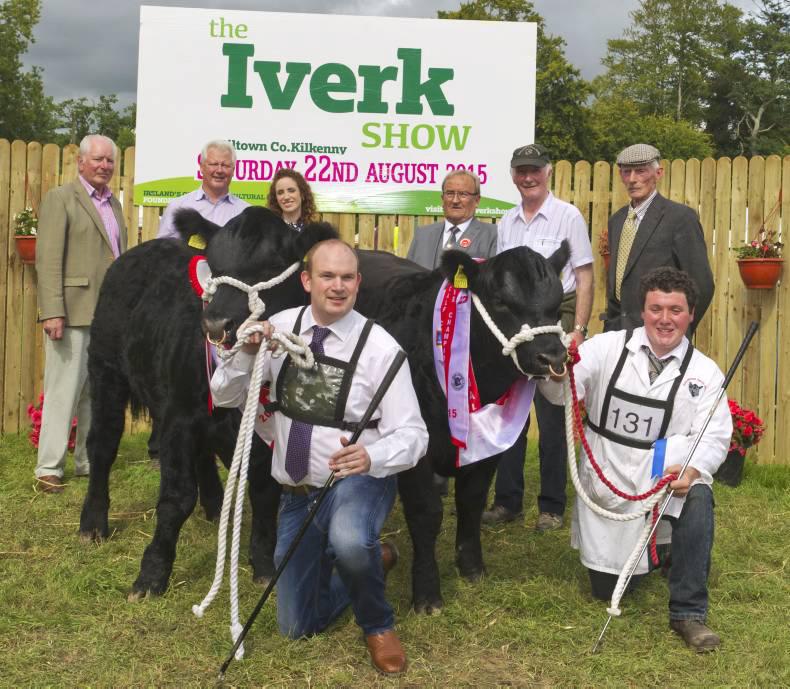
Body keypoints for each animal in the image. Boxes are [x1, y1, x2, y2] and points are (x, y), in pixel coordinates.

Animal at [78, 207, 336, 599]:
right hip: (106, 369)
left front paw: (264, 565)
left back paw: (214, 504)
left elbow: (264, 490)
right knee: (102, 445)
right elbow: (177, 496)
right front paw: (152, 574)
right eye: (213, 266)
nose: (215, 324)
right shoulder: (179, 416)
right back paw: (93, 522)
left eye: (273, 264)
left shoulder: (264, 427)